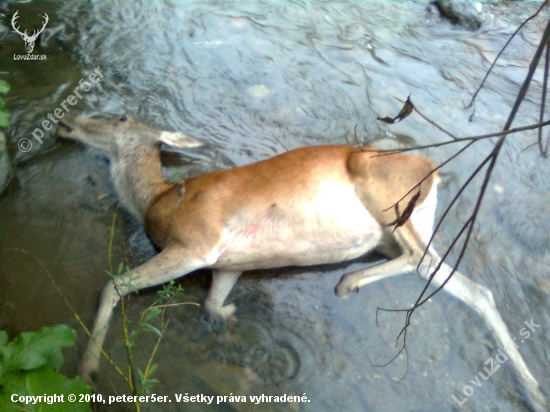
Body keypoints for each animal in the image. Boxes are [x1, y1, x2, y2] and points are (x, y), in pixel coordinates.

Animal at [58, 113, 548, 412]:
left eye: (120, 117)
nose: (66, 122)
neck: (157, 200)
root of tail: (433, 169)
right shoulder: (229, 262)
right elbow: (211, 304)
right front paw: (233, 317)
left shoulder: (198, 243)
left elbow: (112, 286)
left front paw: (87, 370)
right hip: (409, 226)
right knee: (473, 288)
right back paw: (535, 391)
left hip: (387, 192)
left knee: (418, 260)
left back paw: (348, 282)